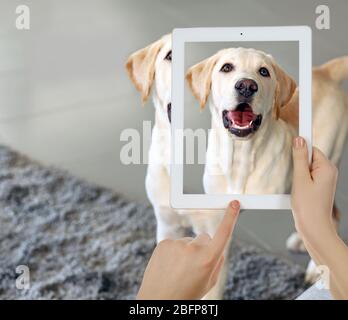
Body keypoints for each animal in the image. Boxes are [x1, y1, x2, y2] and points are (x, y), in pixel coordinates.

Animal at [188, 50, 348, 284]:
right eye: (226, 67)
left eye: (264, 71)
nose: (246, 86)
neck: (241, 157)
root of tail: (324, 71)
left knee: (331, 217)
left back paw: (317, 269)